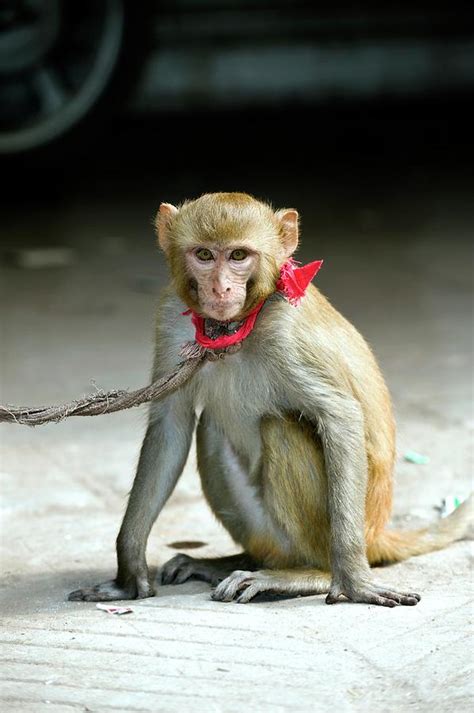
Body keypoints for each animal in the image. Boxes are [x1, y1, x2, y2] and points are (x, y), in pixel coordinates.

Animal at [68, 192, 472, 604]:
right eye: (204, 255)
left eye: (238, 256)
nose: (220, 289)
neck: (236, 328)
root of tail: (376, 535)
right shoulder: (170, 317)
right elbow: (171, 425)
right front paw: (128, 572)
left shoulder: (286, 334)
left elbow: (341, 417)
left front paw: (354, 582)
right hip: (267, 531)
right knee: (211, 427)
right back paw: (236, 562)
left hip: (323, 531)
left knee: (279, 426)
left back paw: (308, 574)